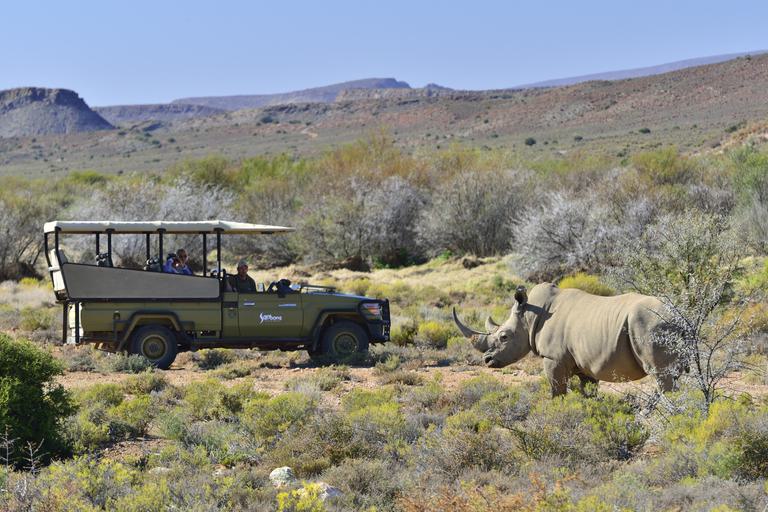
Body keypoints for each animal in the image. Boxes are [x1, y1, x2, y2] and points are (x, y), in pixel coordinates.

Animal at [453, 283, 683, 396]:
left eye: (504, 337)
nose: (487, 361)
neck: (529, 316)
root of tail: (676, 313)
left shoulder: (553, 358)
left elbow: (557, 391)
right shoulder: (586, 364)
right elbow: (588, 394)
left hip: (649, 323)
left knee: (662, 376)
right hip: (662, 324)